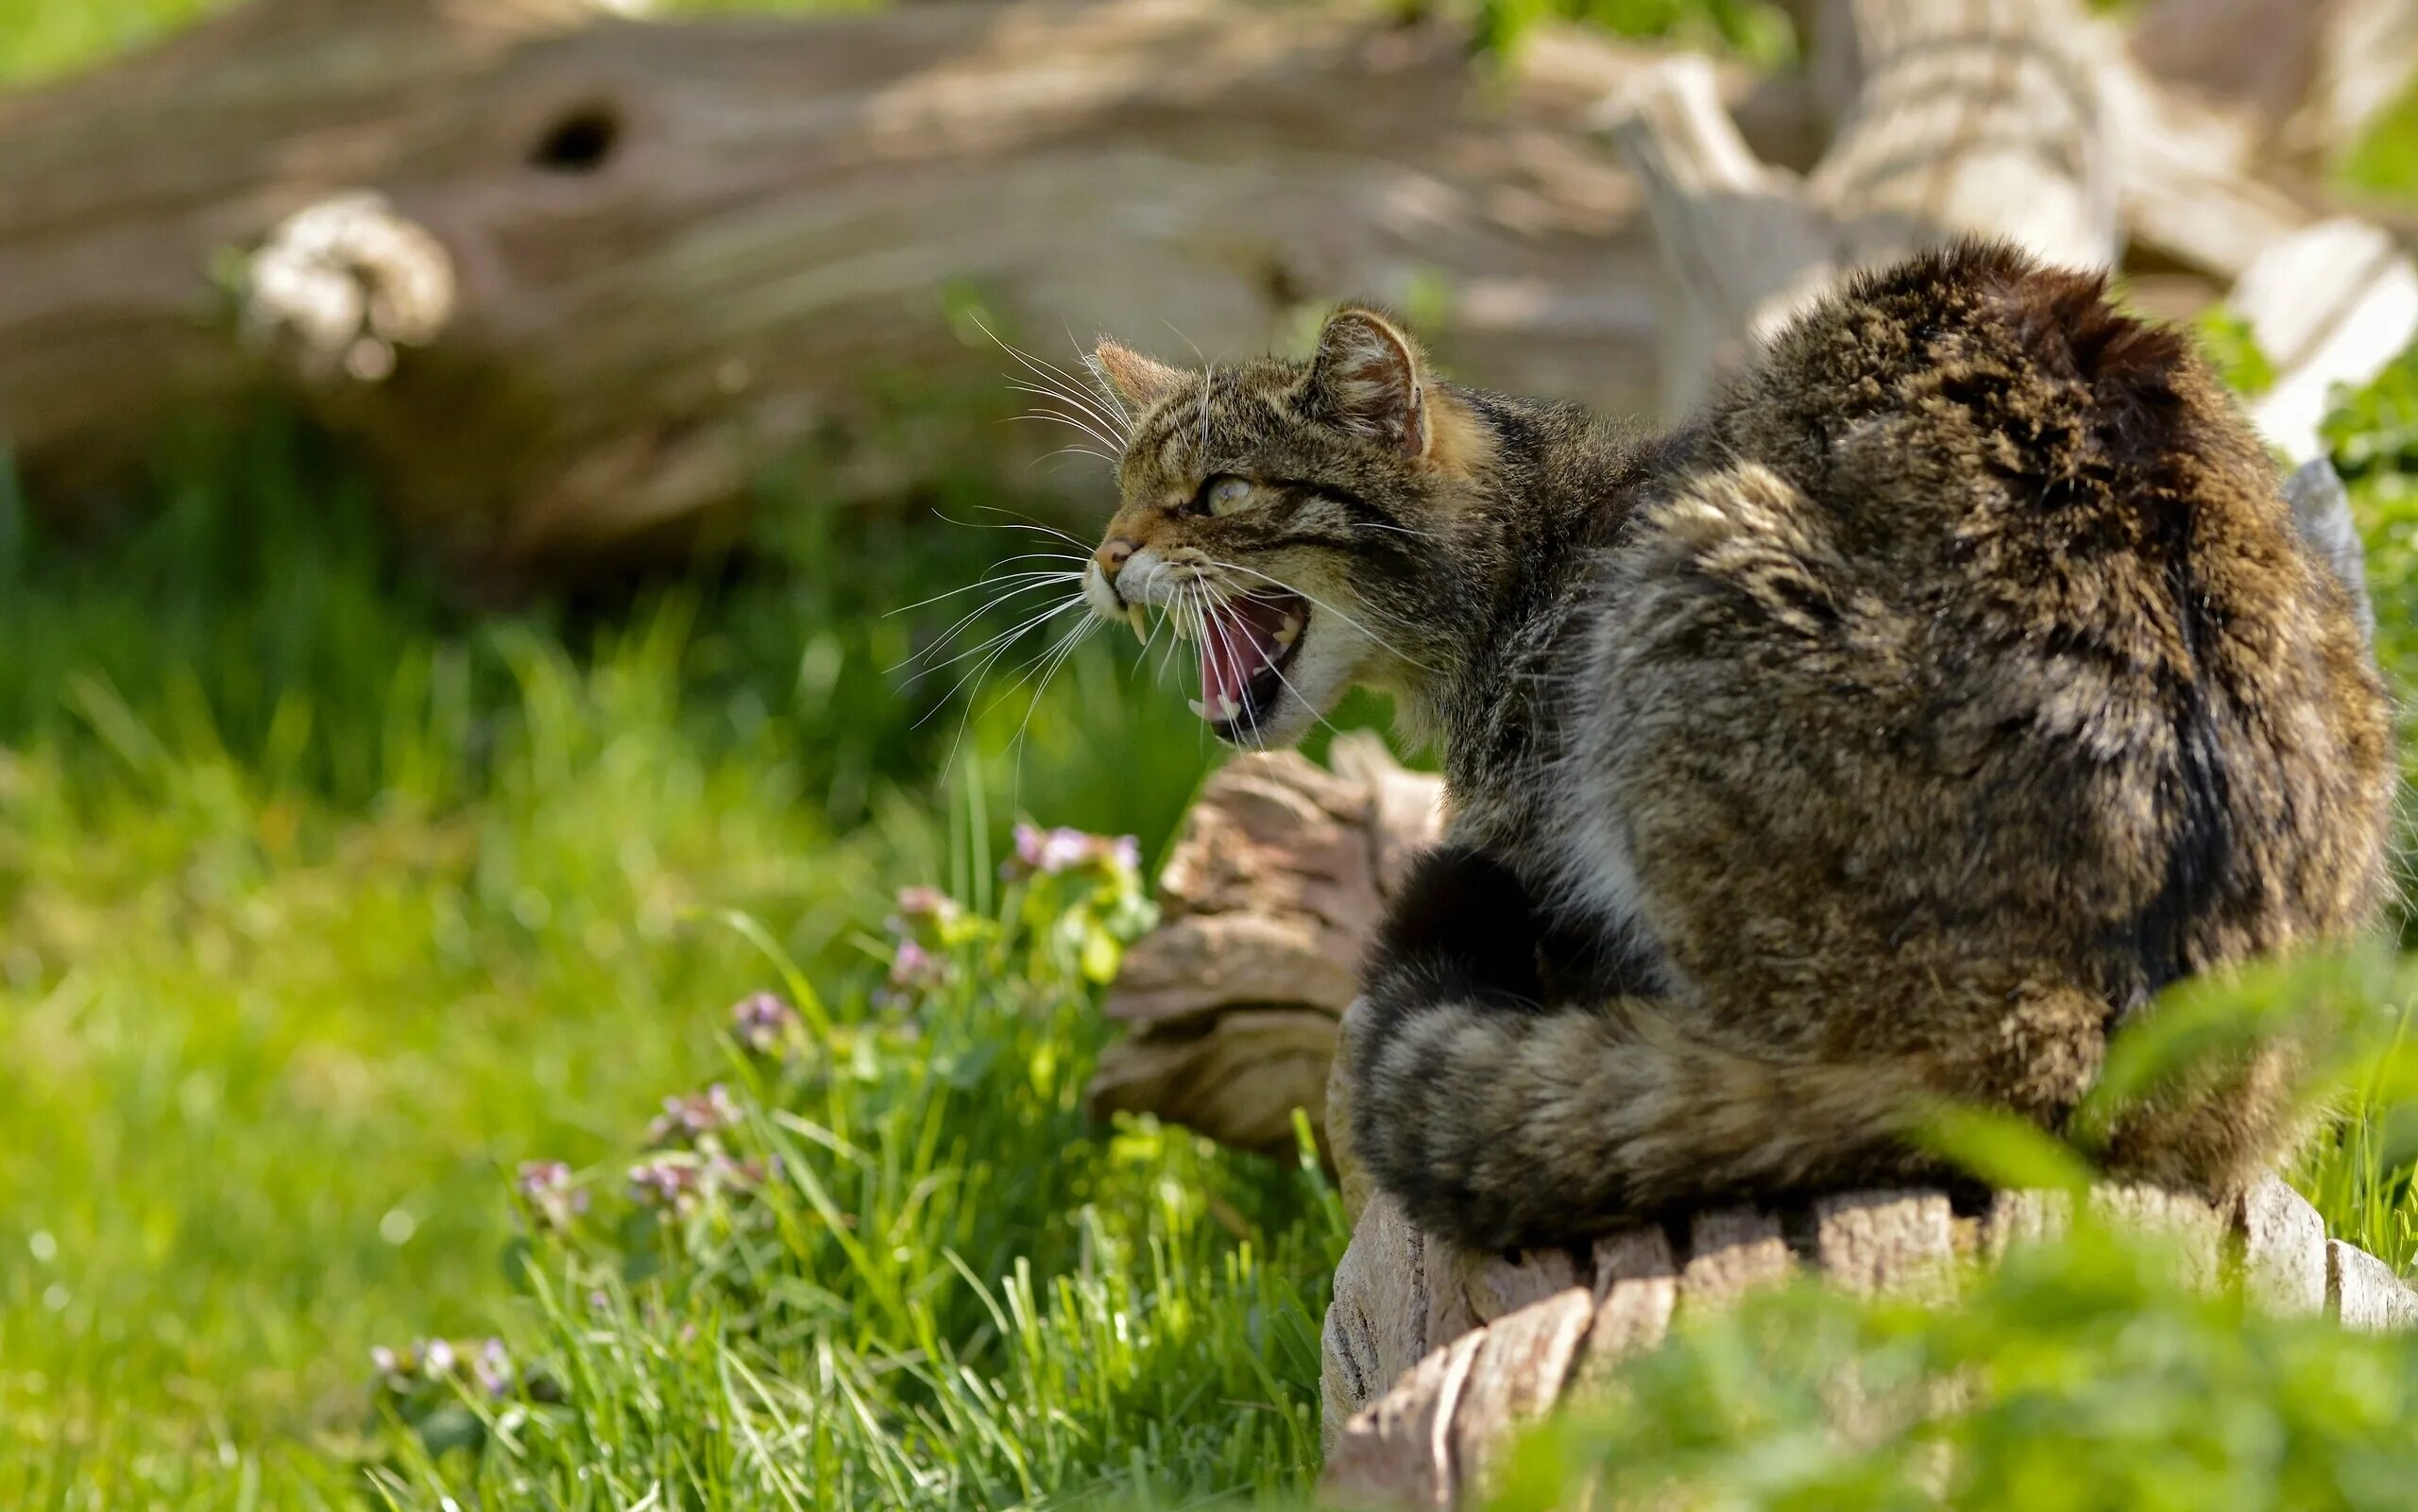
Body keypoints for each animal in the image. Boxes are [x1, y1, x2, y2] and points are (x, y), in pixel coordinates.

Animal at [1073, 238, 2379, 1248]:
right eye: (1120, 489)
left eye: (1221, 494)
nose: (1104, 556)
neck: (1532, 547)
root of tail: (2093, 1029)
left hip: (1694, 587)